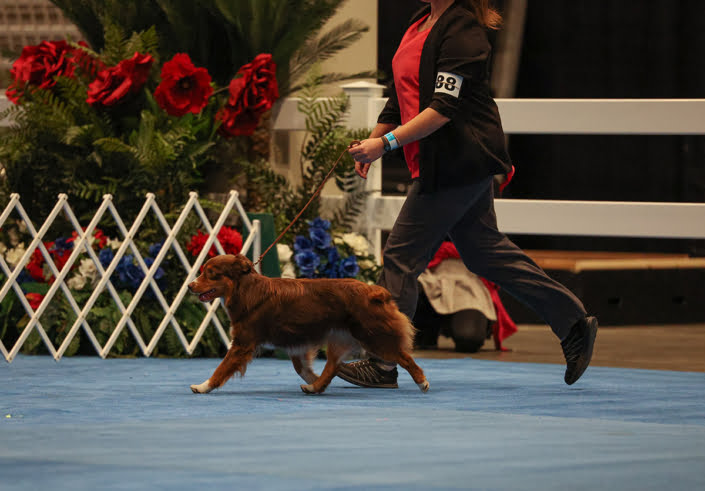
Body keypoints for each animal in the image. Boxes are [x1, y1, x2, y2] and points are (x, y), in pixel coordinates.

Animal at [187, 256, 428, 394]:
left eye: (210, 274)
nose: (189, 285)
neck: (245, 290)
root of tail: (375, 292)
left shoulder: (243, 343)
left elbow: (222, 367)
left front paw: (203, 386)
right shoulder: (296, 343)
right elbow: (301, 368)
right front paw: (315, 381)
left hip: (373, 336)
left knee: (404, 357)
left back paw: (422, 382)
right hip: (340, 337)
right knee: (333, 366)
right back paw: (316, 387)